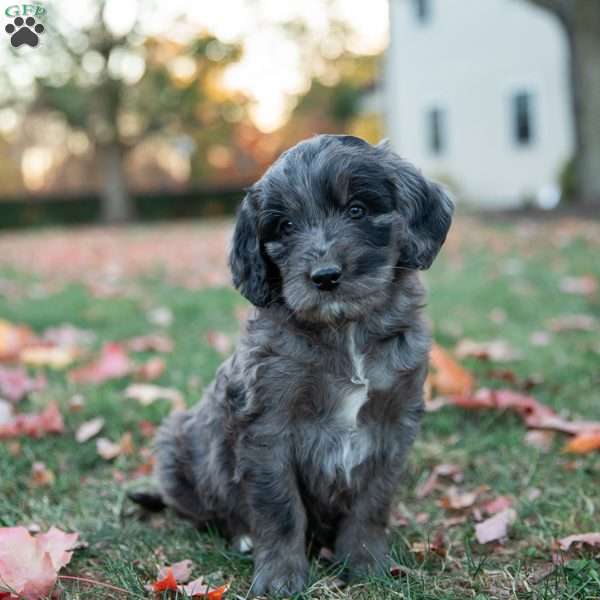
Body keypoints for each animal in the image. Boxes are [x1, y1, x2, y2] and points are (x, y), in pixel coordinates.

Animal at [130, 135, 450, 596]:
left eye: (357, 209)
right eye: (284, 227)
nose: (325, 276)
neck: (345, 331)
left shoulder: (393, 424)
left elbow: (372, 502)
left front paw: (366, 563)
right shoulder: (268, 429)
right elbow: (280, 509)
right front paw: (280, 577)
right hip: (176, 445)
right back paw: (240, 536)